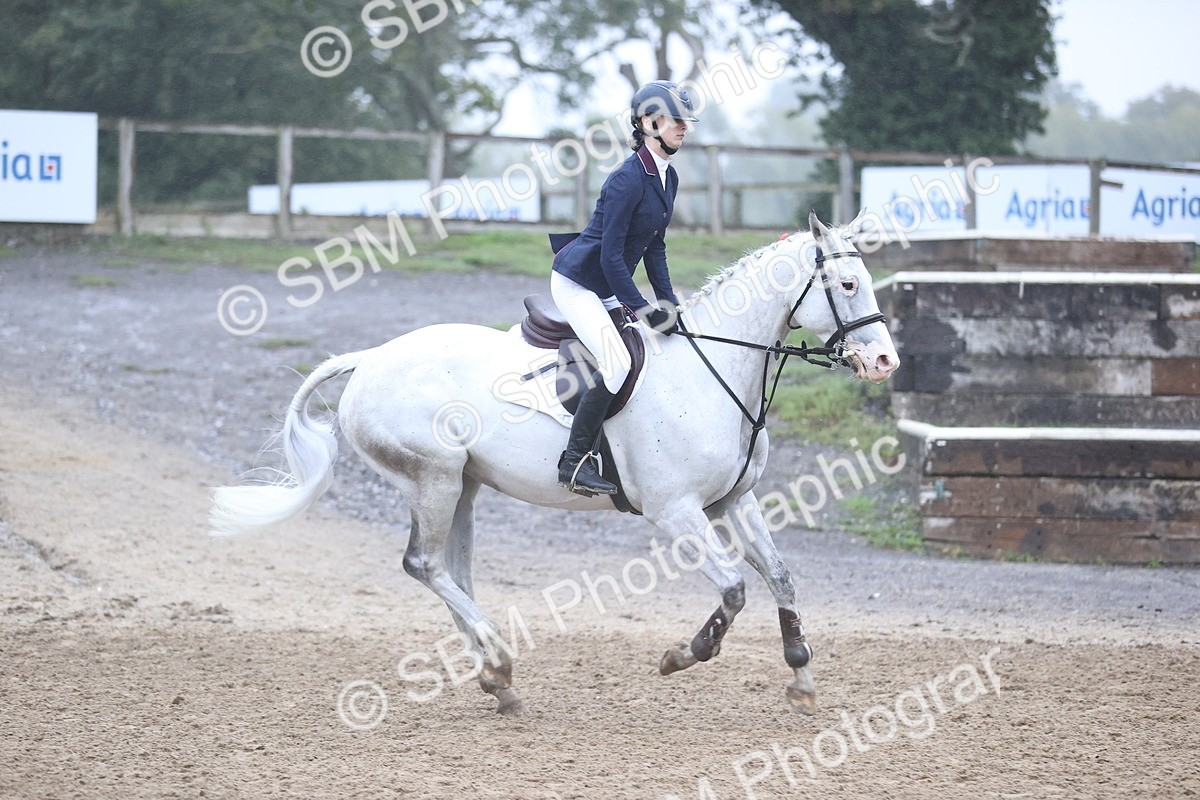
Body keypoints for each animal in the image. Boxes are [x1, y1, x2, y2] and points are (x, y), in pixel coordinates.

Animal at [210, 211, 899, 716]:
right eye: (847, 286)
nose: (884, 362)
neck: (714, 368)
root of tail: (371, 358)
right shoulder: (675, 511)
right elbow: (733, 588)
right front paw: (683, 655)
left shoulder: (733, 500)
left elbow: (780, 577)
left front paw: (802, 679)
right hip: (433, 477)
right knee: (424, 564)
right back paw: (498, 662)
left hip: (462, 486)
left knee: (453, 571)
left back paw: (497, 678)